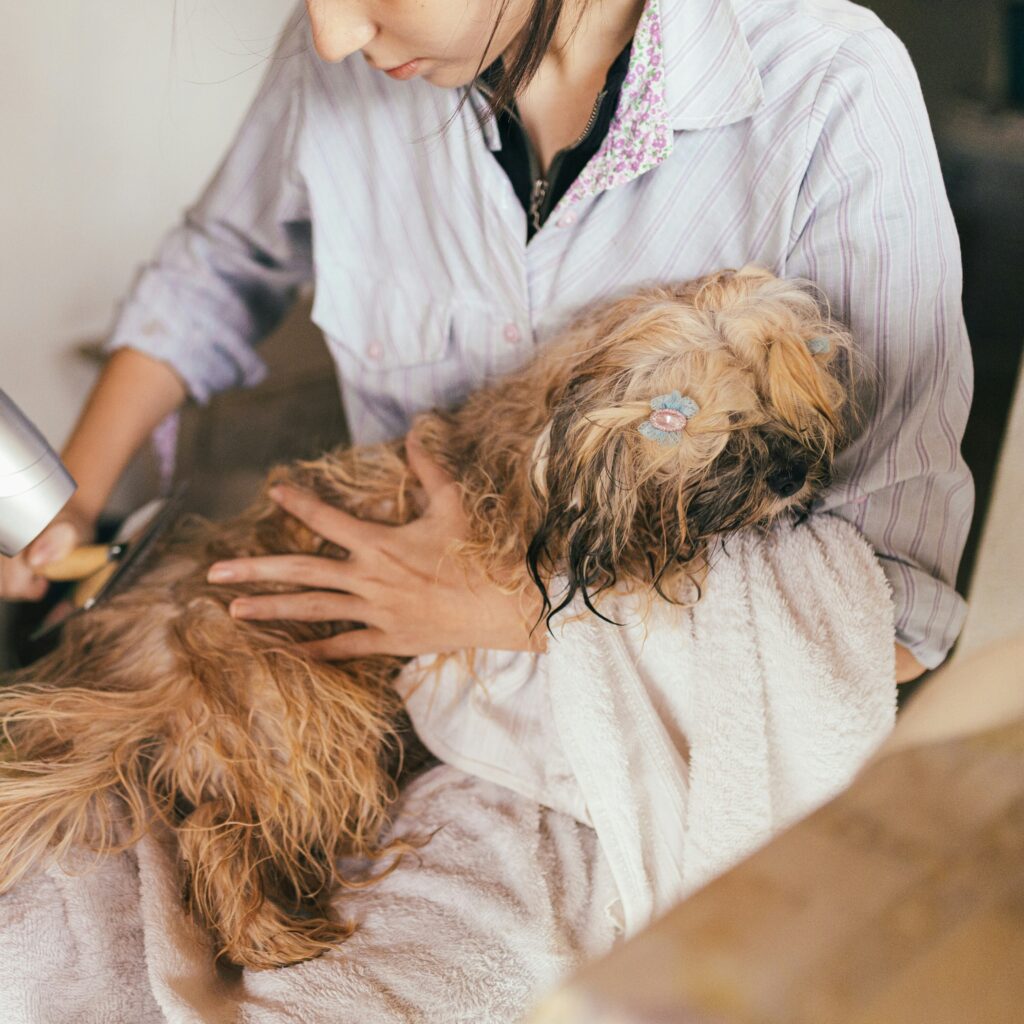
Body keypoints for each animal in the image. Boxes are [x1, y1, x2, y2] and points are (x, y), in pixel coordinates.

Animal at [0, 264, 856, 966]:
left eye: (779, 397)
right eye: (717, 422)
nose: (793, 473)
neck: (549, 437)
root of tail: (155, 663)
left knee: (214, 829)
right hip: (317, 710)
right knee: (220, 831)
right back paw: (273, 934)